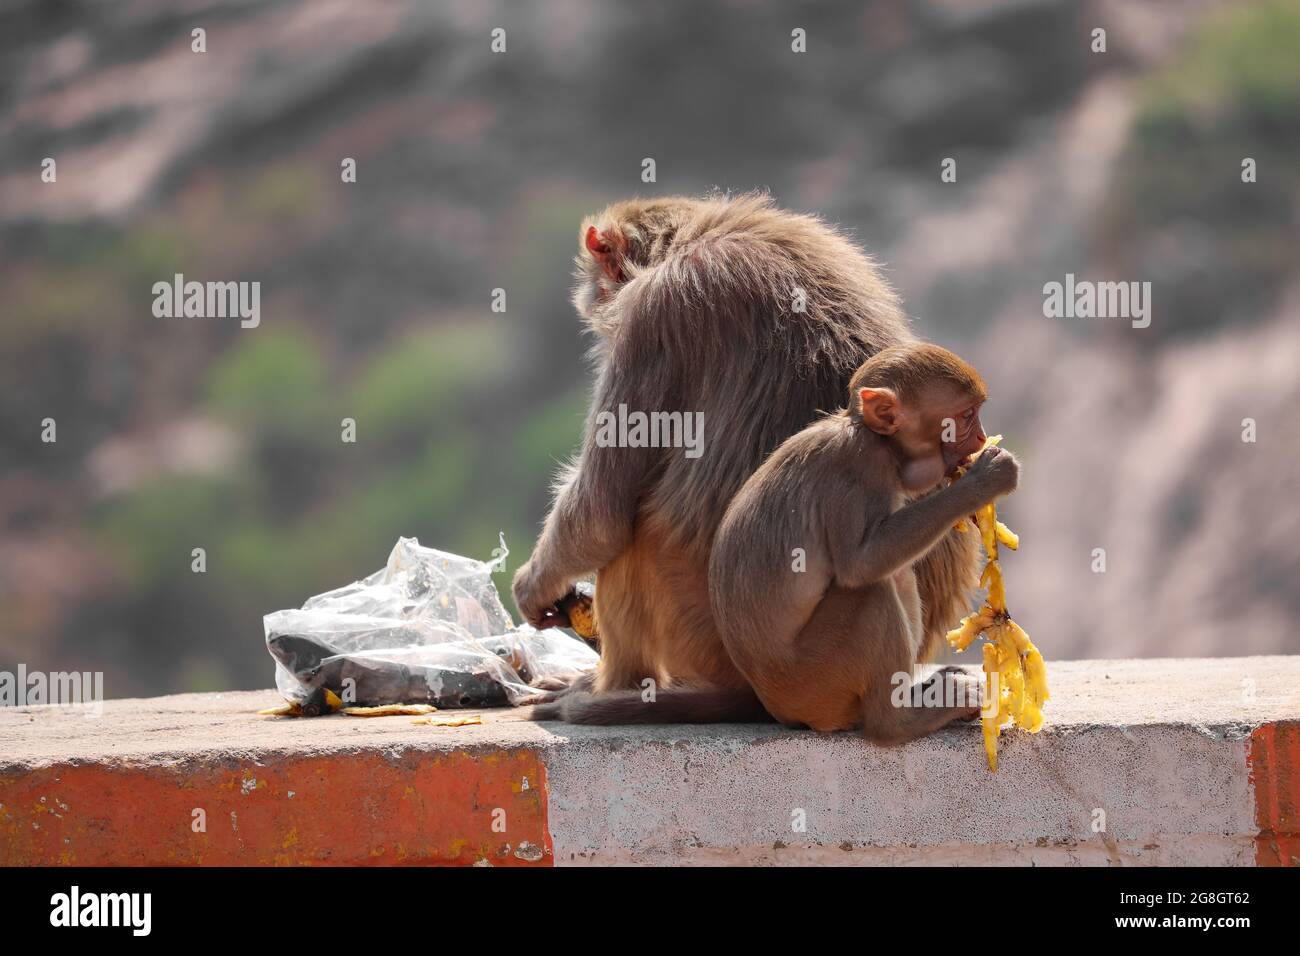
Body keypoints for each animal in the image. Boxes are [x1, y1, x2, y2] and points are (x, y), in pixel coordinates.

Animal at [515, 194, 983, 722]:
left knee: (630, 535)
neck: (696, 237)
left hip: (702, 636)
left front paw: (535, 583)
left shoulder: (651, 317)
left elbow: (602, 515)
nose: (589, 296)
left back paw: (612, 687)